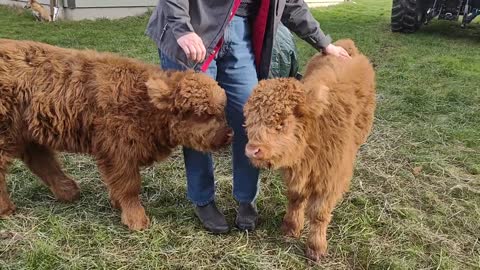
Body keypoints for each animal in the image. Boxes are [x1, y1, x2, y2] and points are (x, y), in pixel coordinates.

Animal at [0, 38, 232, 230]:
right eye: (203, 113)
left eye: (222, 109)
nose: (229, 135)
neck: (144, 103)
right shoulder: (118, 150)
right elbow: (129, 185)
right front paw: (136, 220)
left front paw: (116, 203)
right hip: (6, 134)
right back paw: (7, 209)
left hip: (27, 132)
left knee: (40, 160)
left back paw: (69, 192)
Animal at [244, 39, 376, 262]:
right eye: (250, 119)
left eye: (281, 123)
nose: (253, 150)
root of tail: (347, 45)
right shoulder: (296, 175)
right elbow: (296, 199)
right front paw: (291, 227)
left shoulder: (329, 180)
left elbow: (319, 214)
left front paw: (316, 247)